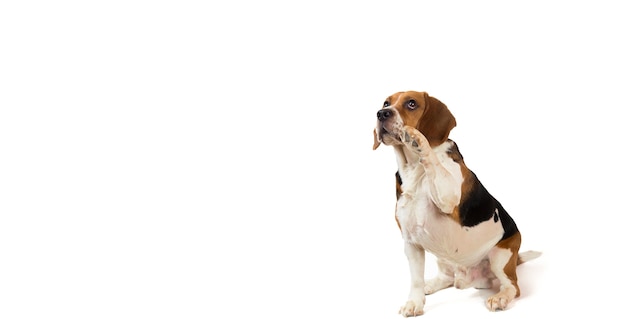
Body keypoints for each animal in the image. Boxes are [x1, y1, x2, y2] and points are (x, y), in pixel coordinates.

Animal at [370, 91, 536, 316]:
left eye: (411, 103)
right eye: (386, 102)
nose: (381, 113)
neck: (414, 170)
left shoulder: (448, 197)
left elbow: (433, 162)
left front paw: (419, 141)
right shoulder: (411, 242)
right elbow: (415, 280)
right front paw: (415, 302)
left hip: (500, 256)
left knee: (513, 286)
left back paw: (500, 297)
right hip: (443, 258)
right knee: (446, 278)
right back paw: (430, 285)